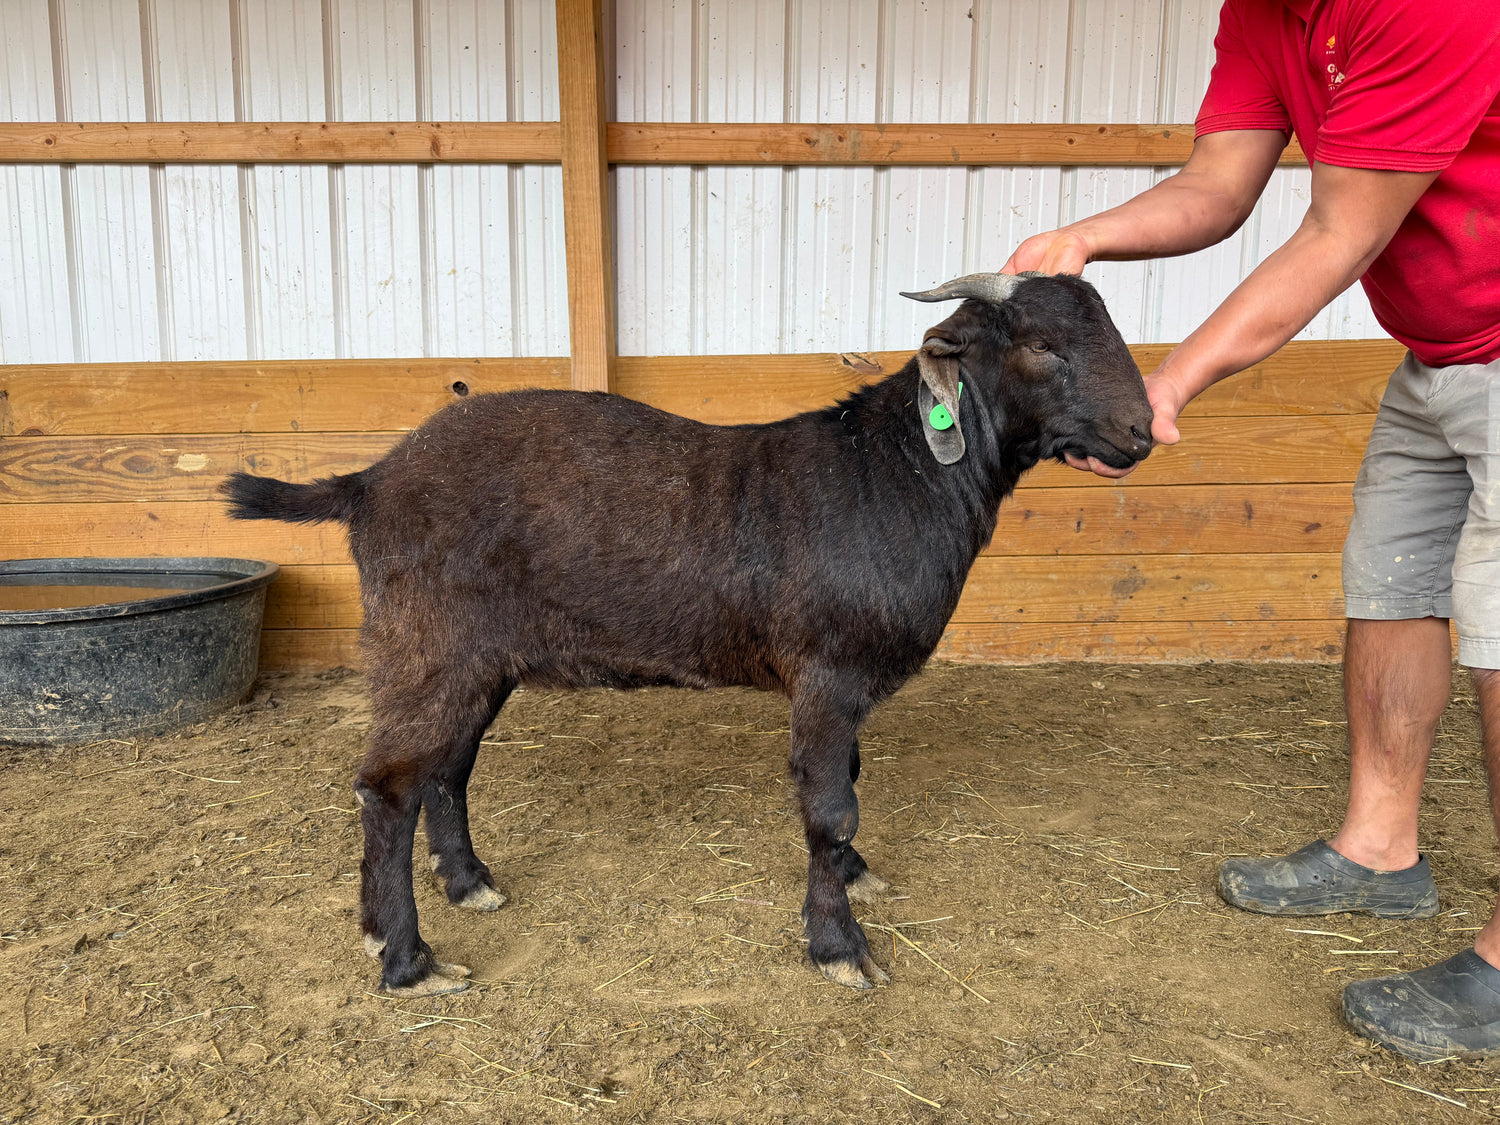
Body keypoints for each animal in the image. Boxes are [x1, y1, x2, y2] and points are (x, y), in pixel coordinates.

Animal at [222, 272, 1154, 997]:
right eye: (1040, 345)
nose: (1142, 431)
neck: (894, 474)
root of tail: (369, 482)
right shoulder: (826, 672)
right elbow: (829, 809)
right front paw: (839, 946)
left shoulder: (844, 686)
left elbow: (849, 784)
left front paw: (857, 881)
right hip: (430, 647)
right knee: (386, 786)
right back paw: (406, 957)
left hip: (482, 657)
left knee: (445, 772)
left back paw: (469, 883)